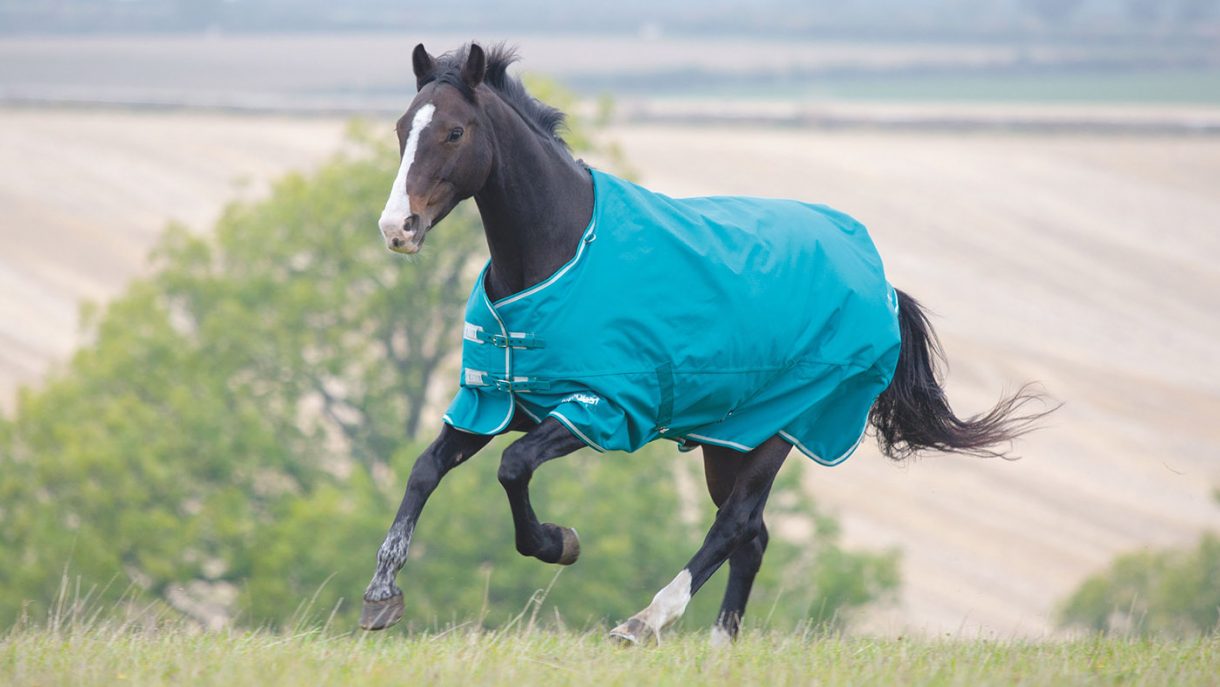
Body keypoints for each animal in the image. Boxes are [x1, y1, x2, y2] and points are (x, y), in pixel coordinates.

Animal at [358, 42, 1049, 644]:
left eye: (454, 133)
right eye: (401, 127)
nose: (398, 227)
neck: (562, 251)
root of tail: (880, 284)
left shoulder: (602, 409)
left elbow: (513, 467)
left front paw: (559, 542)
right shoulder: (496, 401)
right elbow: (424, 470)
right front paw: (381, 596)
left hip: (782, 428)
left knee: (734, 524)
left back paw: (644, 623)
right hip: (729, 438)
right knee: (754, 537)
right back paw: (720, 646)